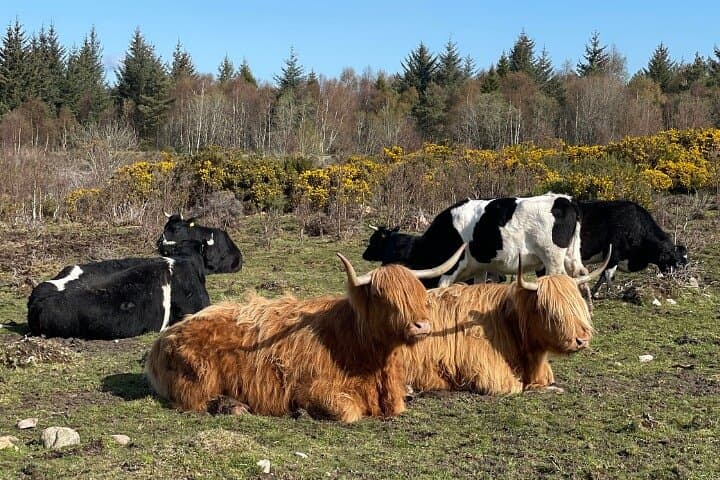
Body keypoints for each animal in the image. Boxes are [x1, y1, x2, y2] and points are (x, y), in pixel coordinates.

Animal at [145, 245, 466, 423]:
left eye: (418, 294)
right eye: (381, 296)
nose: (421, 326)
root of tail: (164, 338)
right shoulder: (312, 389)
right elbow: (348, 412)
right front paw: (302, 412)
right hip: (198, 378)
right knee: (194, 402)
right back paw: (232, 406)